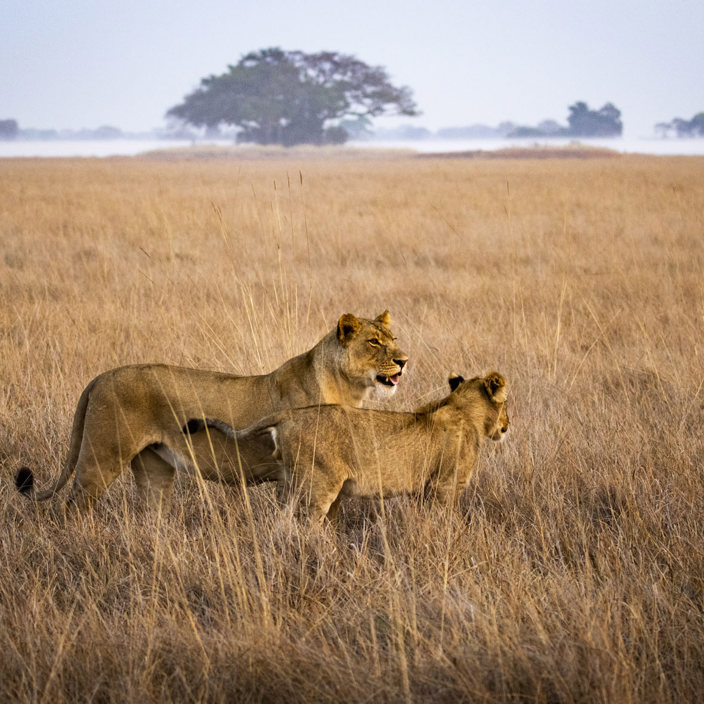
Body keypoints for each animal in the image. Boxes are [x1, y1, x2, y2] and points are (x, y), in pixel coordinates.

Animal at [15, 311, 408, 512]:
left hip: (155, 467)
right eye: (374, 342)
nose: (404, 361)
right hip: (101, 457)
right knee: (71, 508)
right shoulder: (298, 474)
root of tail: (101, 376)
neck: (349, 388)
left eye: (394, 340)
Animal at [186, 372, 509, 524]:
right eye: (507, 403)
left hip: (291, 483)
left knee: (282, 522)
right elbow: (447, 520)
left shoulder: (427, 489)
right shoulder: (446, 485)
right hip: (320, 483)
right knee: (309, 524)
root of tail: (290, 415)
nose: (507, 425)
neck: (462, 407)